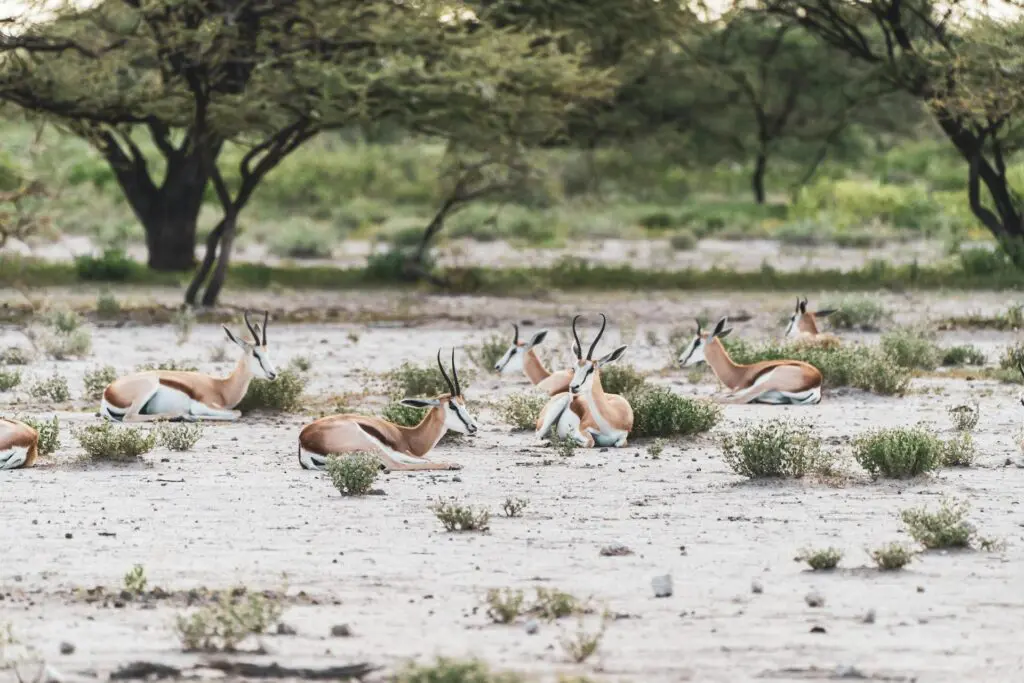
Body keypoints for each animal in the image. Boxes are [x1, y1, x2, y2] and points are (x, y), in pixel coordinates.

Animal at [99, 311, 278, 422]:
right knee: (129, 417)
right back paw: (180, 416)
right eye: (255, 354)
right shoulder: (203, 405)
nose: (273, 374)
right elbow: (236, 413)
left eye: (267, 352)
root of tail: (108, 391)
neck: (221, 387)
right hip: (148, 387)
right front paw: (191, 416)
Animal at [298, 348, 478, 472]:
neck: (407, 435)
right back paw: (453, 464)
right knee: (396, 465)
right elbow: (425, 460)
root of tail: (304, 441)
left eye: (463, 403)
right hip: (371, 446)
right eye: (452, 405)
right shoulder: (402, 451)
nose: (473, 427)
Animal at [535, 313, 634, 448]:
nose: (573, 387)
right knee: (537, 436)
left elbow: (619, 443)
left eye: (591, 369)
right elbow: (590, 441)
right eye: (574, 368)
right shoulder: (582, 429)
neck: (612, 416)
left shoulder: (624, 437)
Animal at [678, 317, 824, 405]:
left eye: (697, 342)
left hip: (766, 383)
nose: (680, 360)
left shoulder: (738, 389)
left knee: (735, 399)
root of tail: (816, 380)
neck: (739, 372)